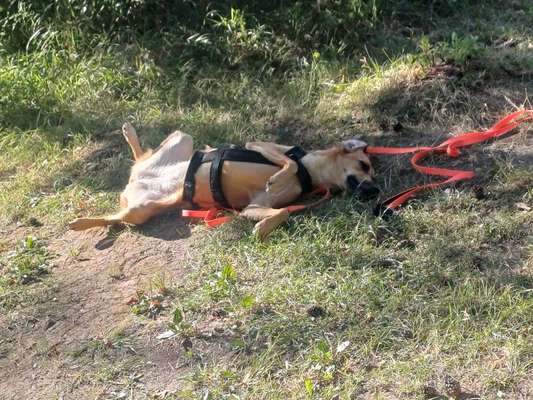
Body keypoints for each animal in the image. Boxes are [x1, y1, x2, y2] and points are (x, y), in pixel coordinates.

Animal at [69, 123, 378, 238]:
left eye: (371, 172)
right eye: (364, 165)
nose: (374, 190)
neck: (310, 173)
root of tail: (136, 179)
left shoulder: (252, 207)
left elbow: (283, 212)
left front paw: (263, 227)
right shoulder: (259, 145)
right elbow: (287, 162)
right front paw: (278, 177)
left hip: (142, 207)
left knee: (117, 210)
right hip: (180, 142)